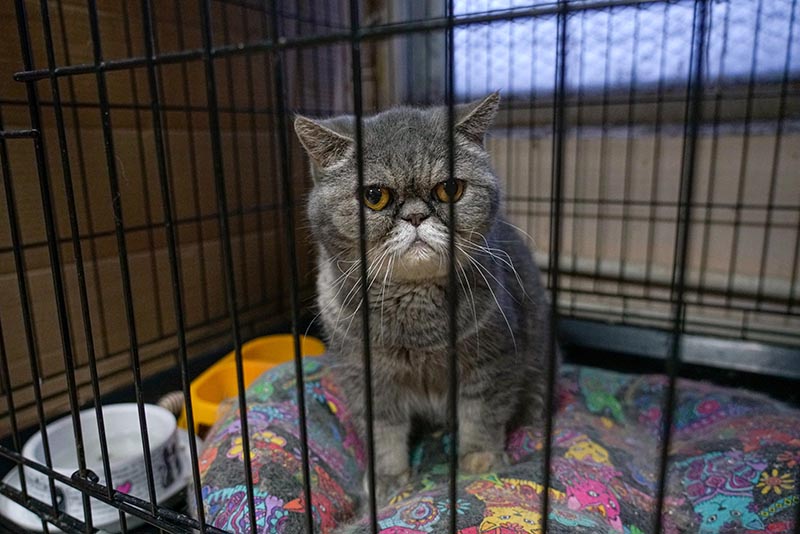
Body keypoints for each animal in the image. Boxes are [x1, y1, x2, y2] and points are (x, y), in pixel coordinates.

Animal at [294, 92, 555, 505]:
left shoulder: (491, 360)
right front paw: (387, 478)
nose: (416, 216)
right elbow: (382, 433)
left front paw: (480, 461)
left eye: (449, 188)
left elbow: (481, 415)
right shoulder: (365, 377)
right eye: (374, 196)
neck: (416, 322)